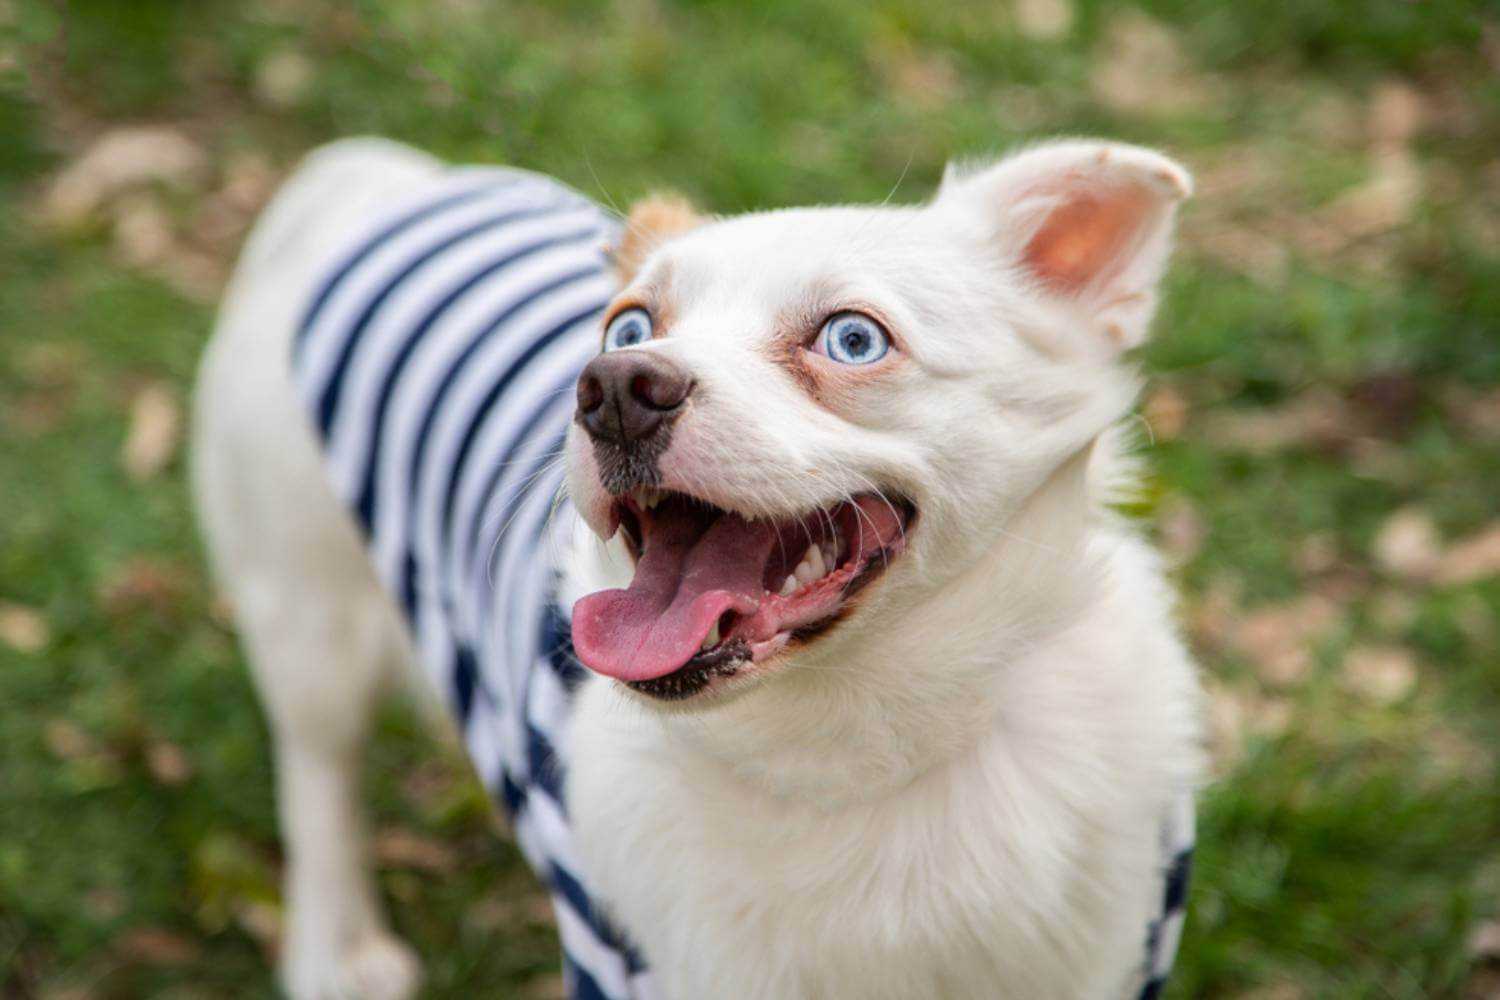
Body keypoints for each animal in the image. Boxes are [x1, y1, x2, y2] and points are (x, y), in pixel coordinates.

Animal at [193, 134, 1206, 1000]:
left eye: (853, 340)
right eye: (626, 327)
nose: (614, 389)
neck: (852, 753)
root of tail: (387, 181)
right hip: (307, 613)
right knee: (317, 775)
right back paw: (335, 950)